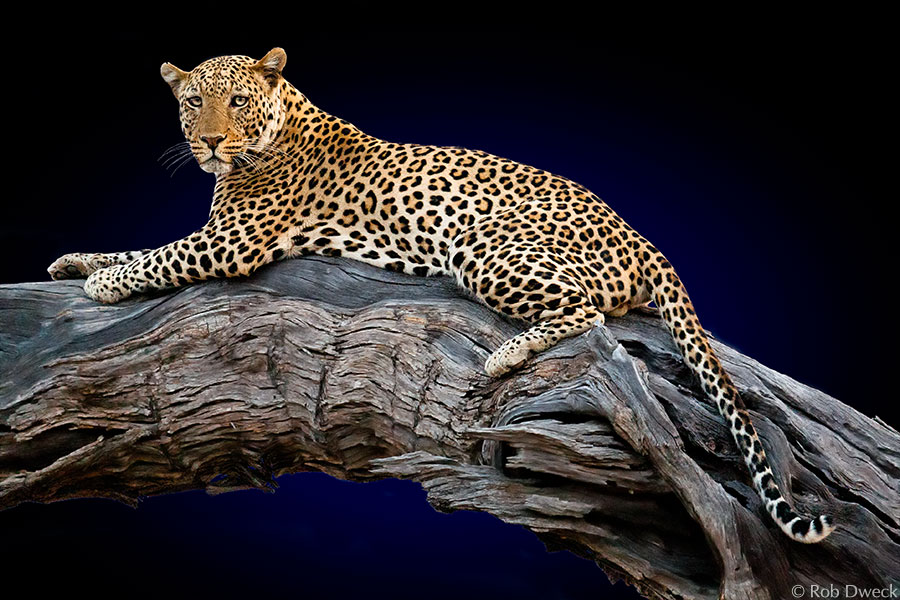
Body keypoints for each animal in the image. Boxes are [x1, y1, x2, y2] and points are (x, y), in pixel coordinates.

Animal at [48, 48, 835, 544]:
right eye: (192, 103)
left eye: (237, 100)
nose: (211, 142)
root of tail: (645, 241)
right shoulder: (219, 229)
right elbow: (139, 247)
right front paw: (74, 260)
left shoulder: (234, 240)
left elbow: (160, 256)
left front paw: (103, 281)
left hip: (484, 248)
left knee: (584, 309)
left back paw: (506, 356)